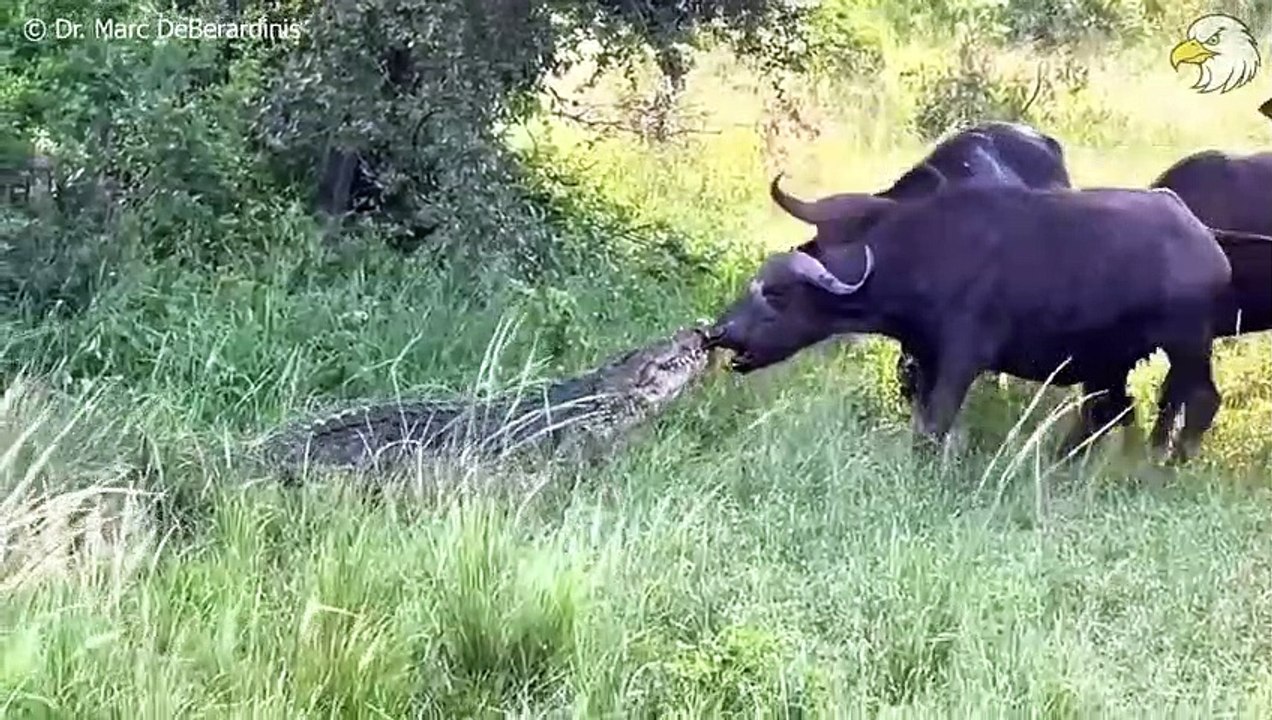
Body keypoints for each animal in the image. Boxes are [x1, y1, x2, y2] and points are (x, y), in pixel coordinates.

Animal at [706, 184, 1234, 463]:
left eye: (777, 294)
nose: (719, 332)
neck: (926, 257)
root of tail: (1205, 239)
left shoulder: (962, 358)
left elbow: (938, 420)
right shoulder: (925, 359)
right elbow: (923, 421)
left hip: (1187, 342)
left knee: (1199, 399)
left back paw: (1167, 465)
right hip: (1112, 358)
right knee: (1109, 410)